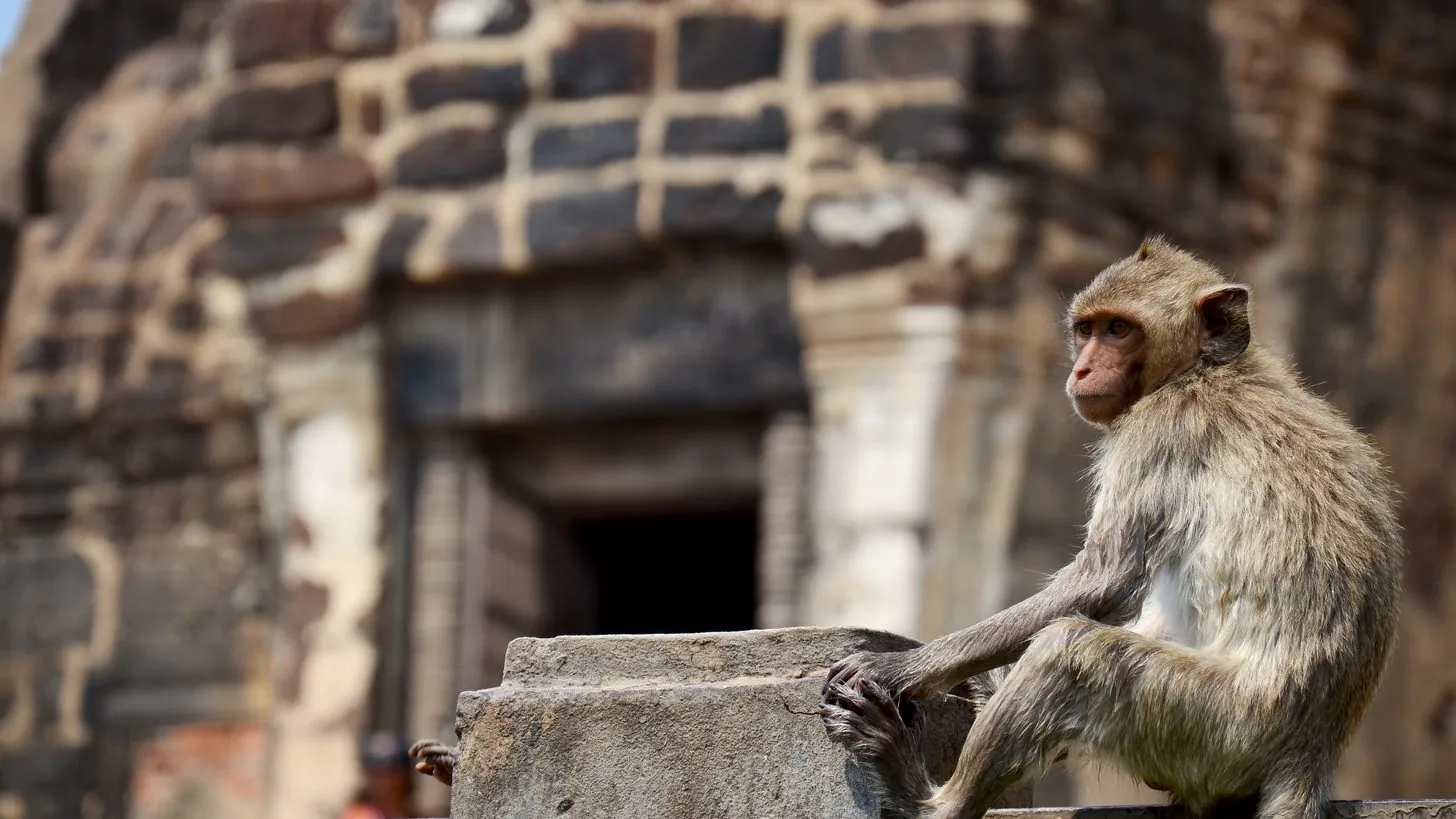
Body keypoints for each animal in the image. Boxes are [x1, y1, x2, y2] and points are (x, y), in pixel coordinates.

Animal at [819, 236, 1403, 819]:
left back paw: (924, 798)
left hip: (1222, 729)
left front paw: (903, 668)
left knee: (1072, 651)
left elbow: (1104, 580)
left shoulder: (1159, 431)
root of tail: (1313, 750)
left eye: (1119, 329)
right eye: (1087, 329)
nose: (1080, 371)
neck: (1203, 370)